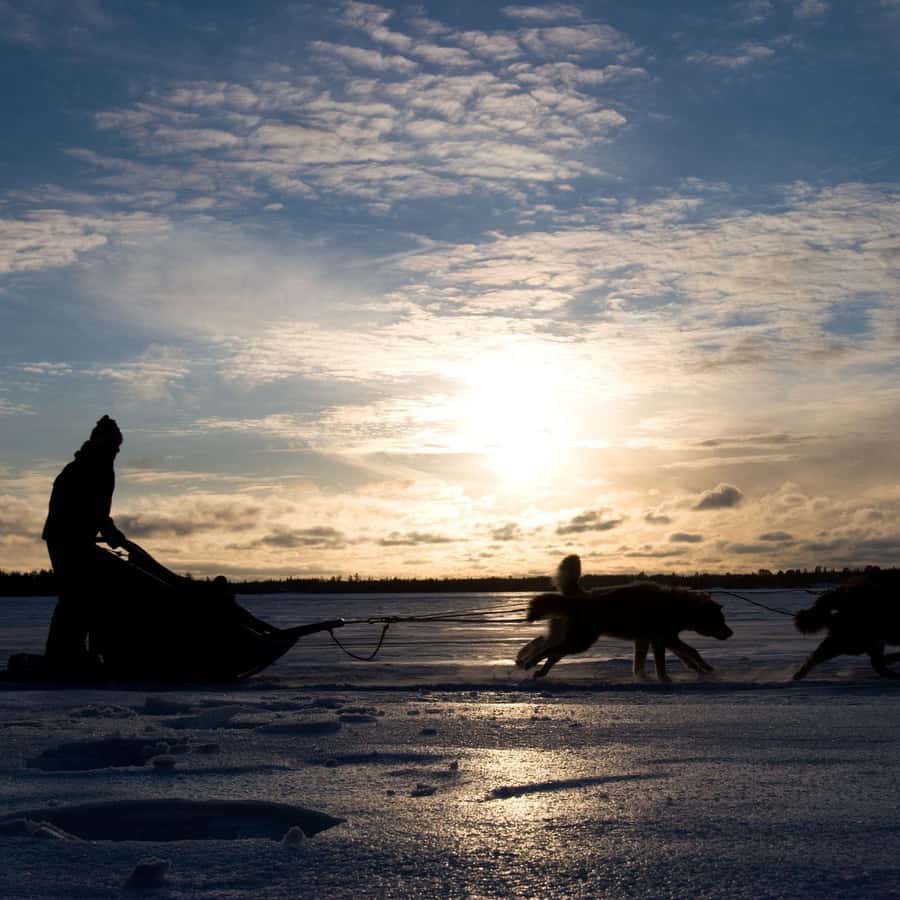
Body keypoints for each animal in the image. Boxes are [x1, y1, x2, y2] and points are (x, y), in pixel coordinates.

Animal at [516, 555, 733, 681]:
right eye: (720, 619)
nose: (730, 633)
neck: (678, 606)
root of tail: (580, 597)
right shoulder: (663, 639)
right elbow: (686, 654)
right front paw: (667, 679)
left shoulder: (652, 640)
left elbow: (677, 657)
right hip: (580, 641)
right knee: (549, 650)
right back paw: (529, 663)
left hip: (574, 640)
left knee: (550, 650)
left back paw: (535, 669)